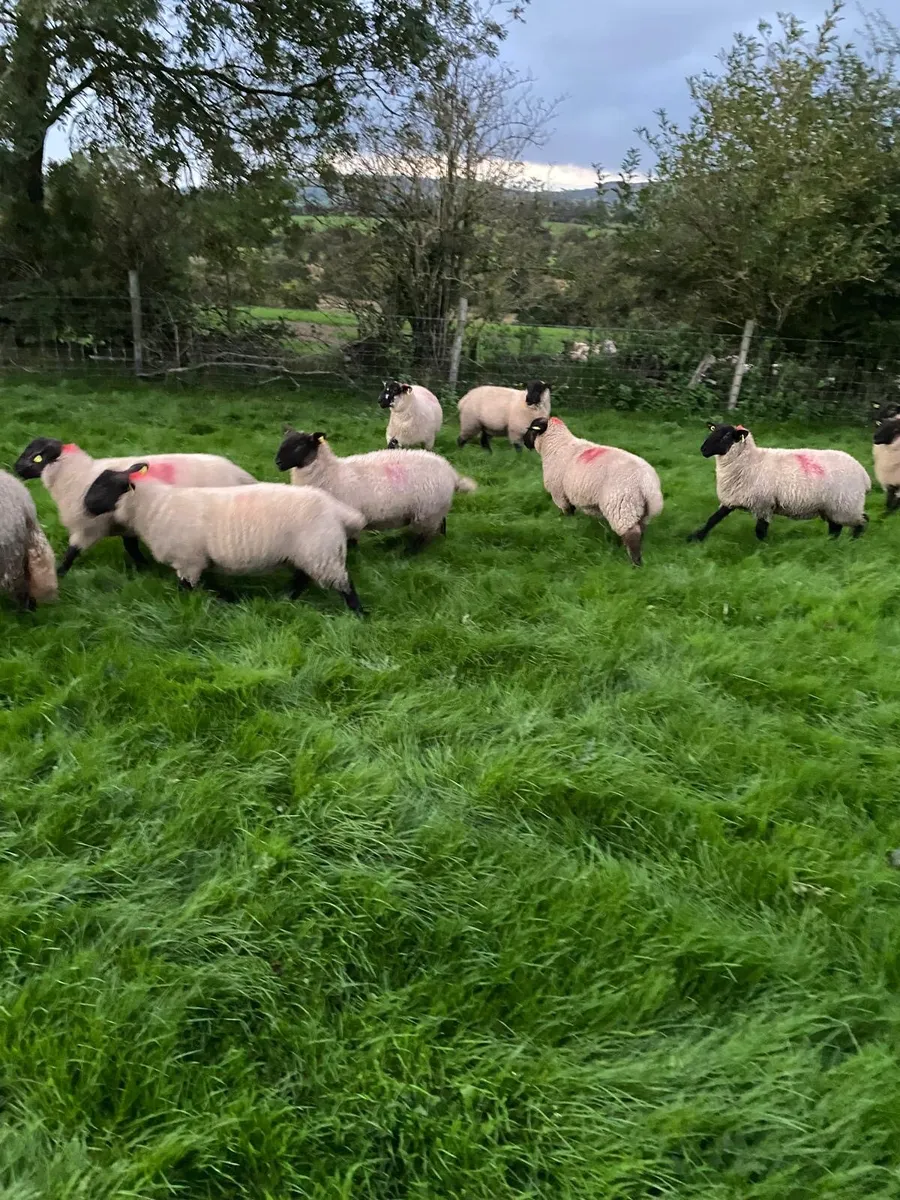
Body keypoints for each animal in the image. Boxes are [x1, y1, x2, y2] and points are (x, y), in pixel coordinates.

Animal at [15, 438, 255, 576]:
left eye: (36, 457)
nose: (16, 468)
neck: (77, 475)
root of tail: (241, 474)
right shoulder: (126, 524)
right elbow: (130, 547)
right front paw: (143, 566)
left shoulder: (91, 527)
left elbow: (72, 552)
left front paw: (60, 573)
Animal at [83, 466, 366, 614]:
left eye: (106, 486)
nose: (84, 506)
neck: (154, 507)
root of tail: (336, 509)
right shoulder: (197, 562)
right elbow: (208, 585)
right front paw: (225, 598)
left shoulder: (188, 561)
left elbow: (185, 590)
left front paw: (186, 607)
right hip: (309, 552)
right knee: (302, 578)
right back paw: (287, 598)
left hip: (321, 551)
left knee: (344, 583)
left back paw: (358, 614)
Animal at [275, 429, 476, 550]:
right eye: (283, 442)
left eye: (300, 445)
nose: (277, 462)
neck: (333, 473)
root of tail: (451, 472)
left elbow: (350, 541)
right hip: (435, 509)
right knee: (441, 524)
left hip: (427, 512)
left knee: (424, 536)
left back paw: (409, 552)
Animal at [522, 416, 663, 566]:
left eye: (531, 429)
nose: (524, 442)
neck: (557, 445)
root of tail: (647, 484)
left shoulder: (559, 493)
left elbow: (568, 512)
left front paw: (568, 526)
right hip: (640, 510)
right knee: (640, 530)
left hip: (622, 505)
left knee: (632, 535)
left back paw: (635, 563)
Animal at [688, 422, 871, 544]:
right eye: (713, 430)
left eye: (727, 435)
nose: (703, 449)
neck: (751, 462)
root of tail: (863, 474)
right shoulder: (733, 498)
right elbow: (713, 519)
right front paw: (695, 537)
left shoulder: (763, 504)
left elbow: (760, 530)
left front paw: (763, 548)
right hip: (833, 506)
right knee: (836, 527)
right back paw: (831, 543)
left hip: (845, 504)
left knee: (862, 521)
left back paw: (853, 542)